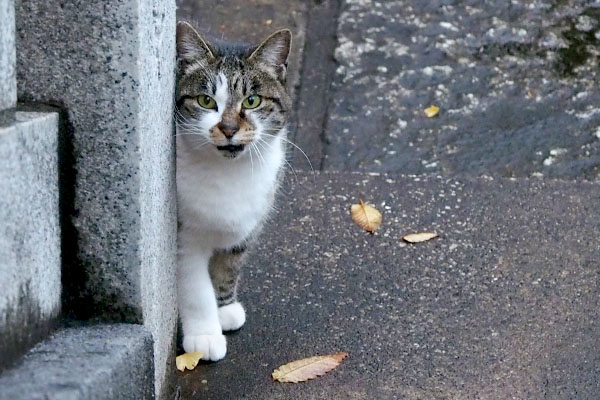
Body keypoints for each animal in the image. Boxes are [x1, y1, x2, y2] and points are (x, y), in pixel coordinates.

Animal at [173, 20, 292, 360]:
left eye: (252, 101)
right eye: (206, 101)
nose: (228, 129)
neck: (228, 173)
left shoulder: (246, 229)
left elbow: (227, 269)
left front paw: (223, 308)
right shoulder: (184, 239)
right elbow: (196, 289)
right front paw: (205, 335)